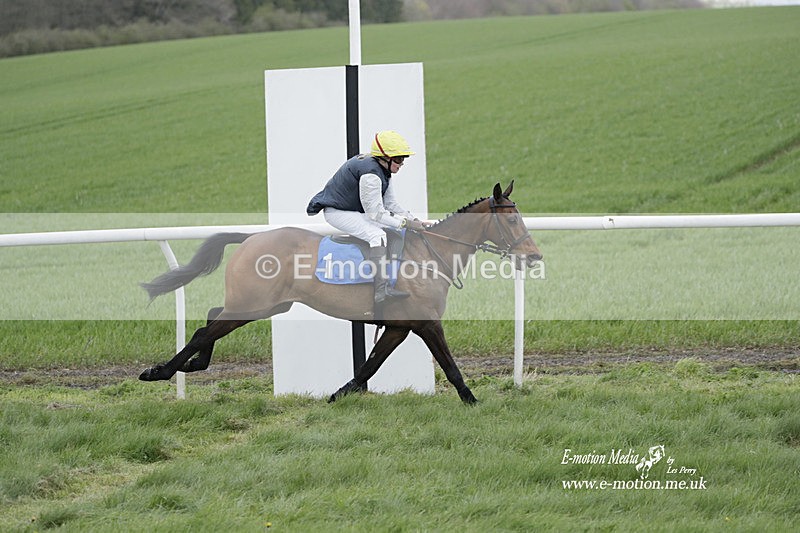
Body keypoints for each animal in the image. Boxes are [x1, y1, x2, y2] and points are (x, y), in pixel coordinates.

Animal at [138, 181, 542, 404]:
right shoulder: (426, 322)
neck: (429, 255)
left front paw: (338, 395)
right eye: (511, 219)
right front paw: (472, 400)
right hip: (254, 304)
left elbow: (370, 365)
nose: (534, 255)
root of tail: (251, 238)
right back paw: (160, 371)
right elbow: (450, 366)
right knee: (203, 330)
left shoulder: (399, 326)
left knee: (210, 319)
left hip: (266, 305)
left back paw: (192, 364)